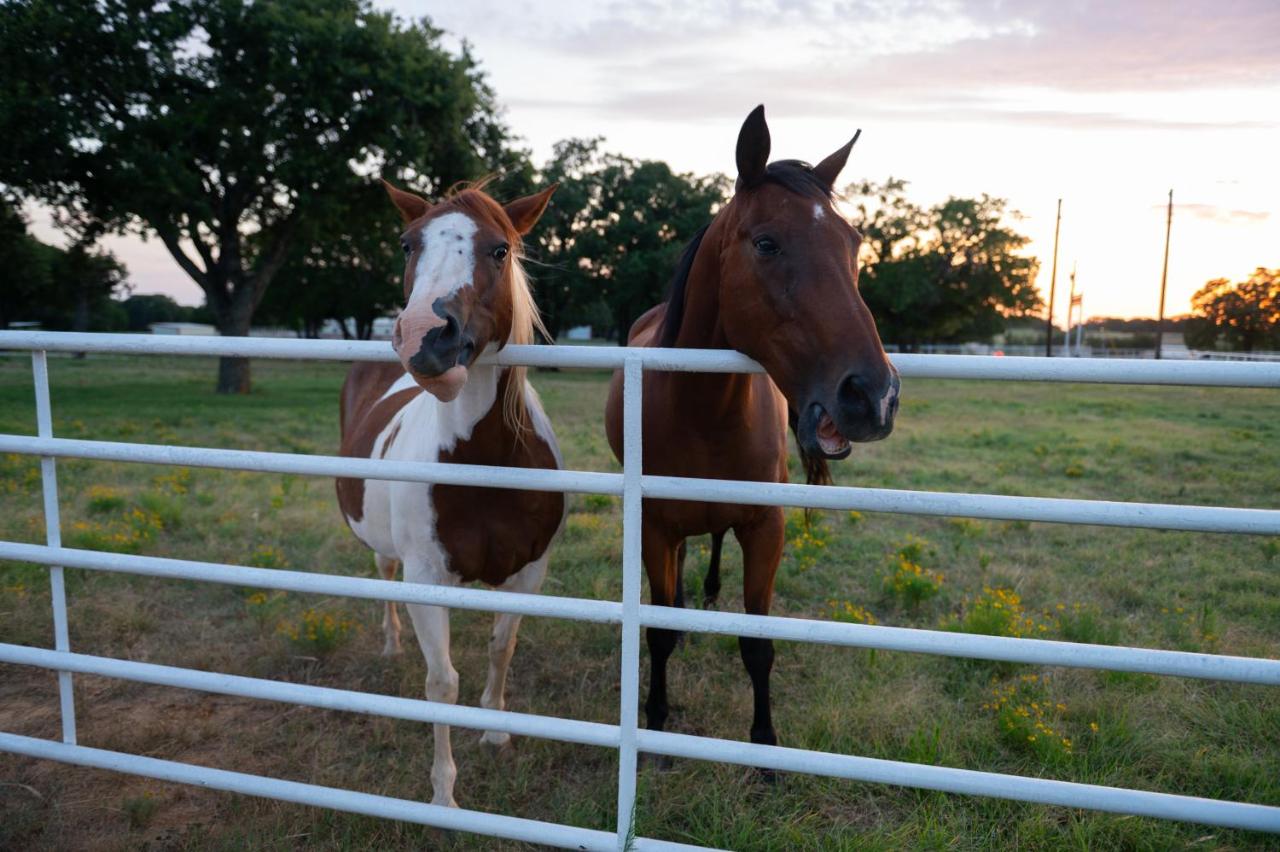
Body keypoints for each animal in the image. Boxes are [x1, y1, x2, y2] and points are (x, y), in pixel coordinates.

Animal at [336, 178, 564, 808]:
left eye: (500, 250)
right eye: (407, 244)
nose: (424, 340)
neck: (484, 466)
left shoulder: (527, 572)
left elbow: (500, 648)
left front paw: (495, 732)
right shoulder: (426, 578)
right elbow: (441, 683)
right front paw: (444, 796)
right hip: (389, 551)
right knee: (383, 573)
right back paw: (391, 644)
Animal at [604, 105, 899, 757]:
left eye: (854, 244)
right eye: (766, 243)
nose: (873, 395)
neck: (703, 412)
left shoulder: (767, 528)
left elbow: (757, 644)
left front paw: (764, 745)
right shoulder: (655, 527)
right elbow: (658, 632)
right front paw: (656, 720)